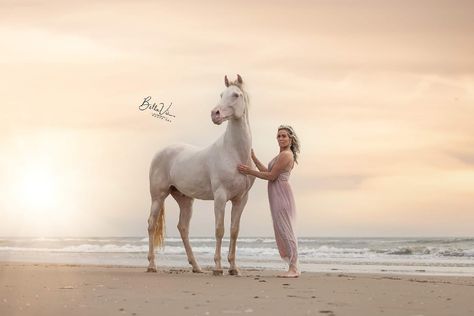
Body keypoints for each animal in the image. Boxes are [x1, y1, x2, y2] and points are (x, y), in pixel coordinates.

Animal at [146, 74, 256, 274]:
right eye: (221, 94)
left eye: (236, 95)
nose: (215, 114)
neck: (234, 153)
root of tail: (161, 152)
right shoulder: (220, 196)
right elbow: (219, 229)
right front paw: (218, 268)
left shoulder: (241, 199)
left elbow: (234, 230)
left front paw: (234, 268)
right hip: (158, 196)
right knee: (151, 224)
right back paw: (152, 265)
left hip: (185, 200)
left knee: (183, 228)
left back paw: (196, 266)